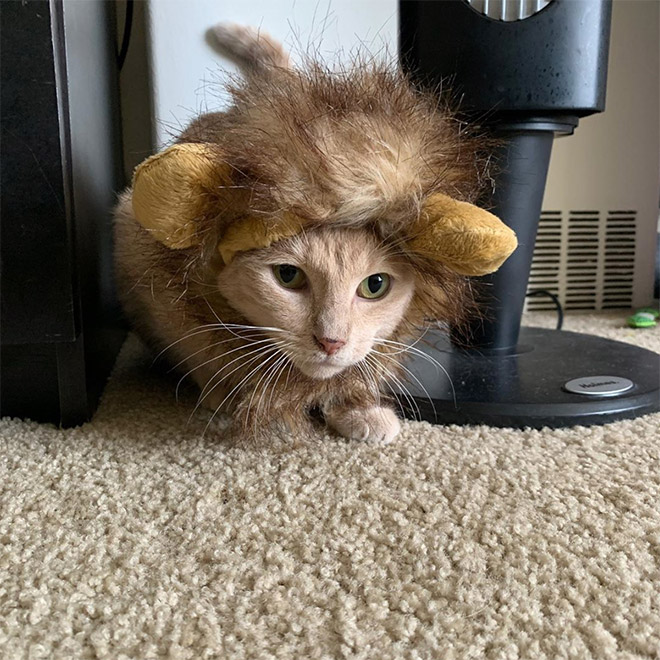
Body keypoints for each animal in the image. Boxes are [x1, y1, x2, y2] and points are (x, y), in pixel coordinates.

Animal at [112, 24, 490, 444]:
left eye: (375, 285)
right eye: (288, 276)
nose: (331, 341)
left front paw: (357, 406)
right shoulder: (154, 285)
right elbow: (198, 354)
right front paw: (229, 393)